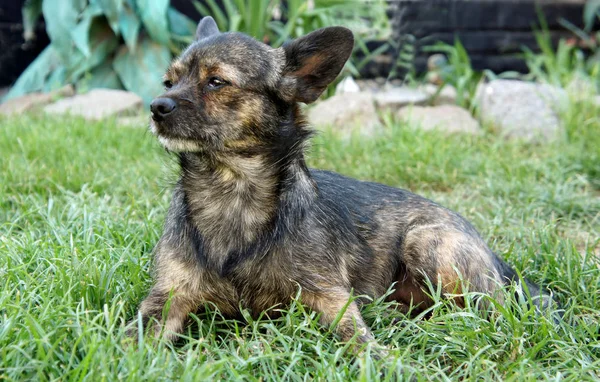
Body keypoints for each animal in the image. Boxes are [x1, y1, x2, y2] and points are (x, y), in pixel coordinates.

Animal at [135, 16, 552, 350]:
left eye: (217, 82)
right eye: (168, 81)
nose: (156, 106)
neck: (229, 190)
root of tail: (492, 254)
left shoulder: (332, 298)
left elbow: (359, 341)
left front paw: (383, 362)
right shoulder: (166, 298)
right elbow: (132, 345)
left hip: (427, 242)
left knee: (491, 313)